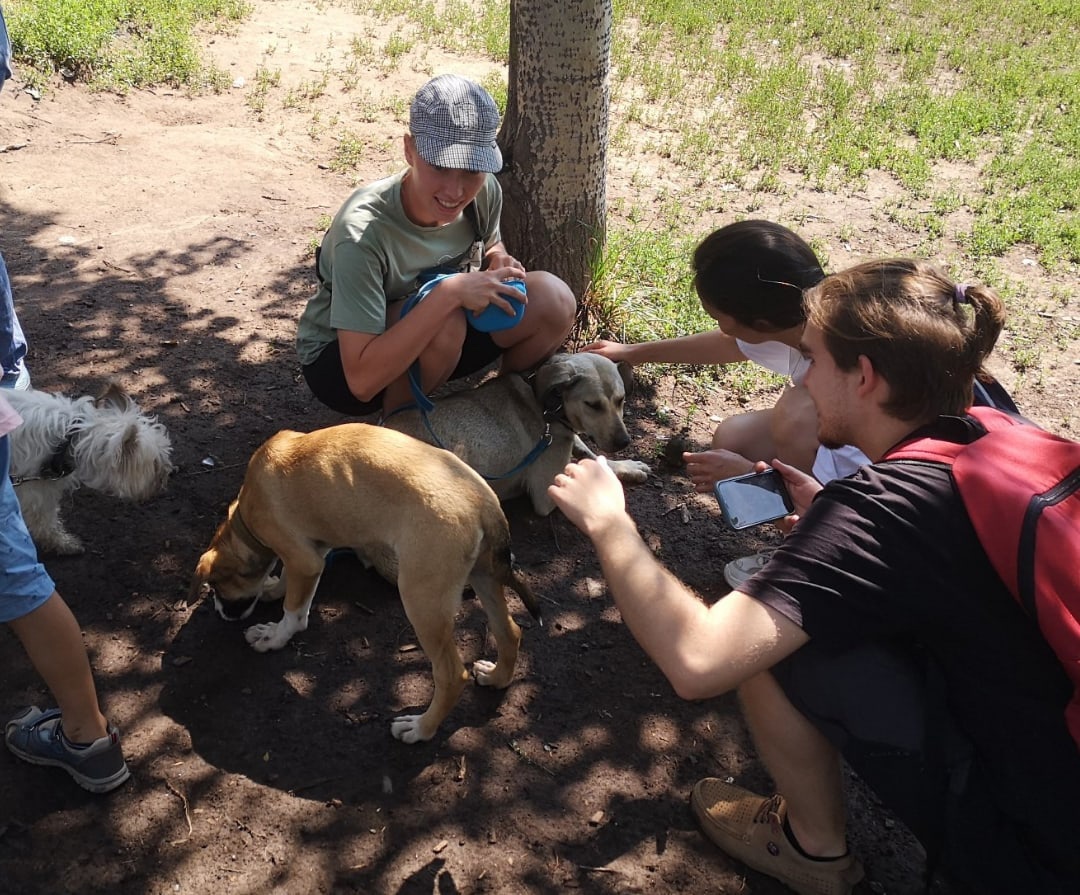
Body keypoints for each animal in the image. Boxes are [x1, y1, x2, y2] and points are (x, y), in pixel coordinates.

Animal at [5, 382, 172, 552]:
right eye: (156, 463)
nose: (165, 477)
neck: (68, 437)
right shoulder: (36, 492)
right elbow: (45, 522)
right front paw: (63, 543)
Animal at [191, 423, 540, 742]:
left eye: (216, 588)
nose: (221, 614)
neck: (247, 517)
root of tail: (485, 504)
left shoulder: (304, 559)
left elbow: (294, 612)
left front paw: (273, 636)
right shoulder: (310, 551)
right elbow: (290, 582)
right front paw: (272, 589)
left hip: (422, 600)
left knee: (452, 674)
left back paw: (420, 729)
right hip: (483, 577)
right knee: (510, 632)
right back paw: (497, 677)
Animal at [382, 351, 643, 513]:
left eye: (621, 400)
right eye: (592, 405)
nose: (624, 442)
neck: (548, 406)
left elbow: (592, 454)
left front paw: (628, 466)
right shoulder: (546, 491)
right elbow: (583, 464)